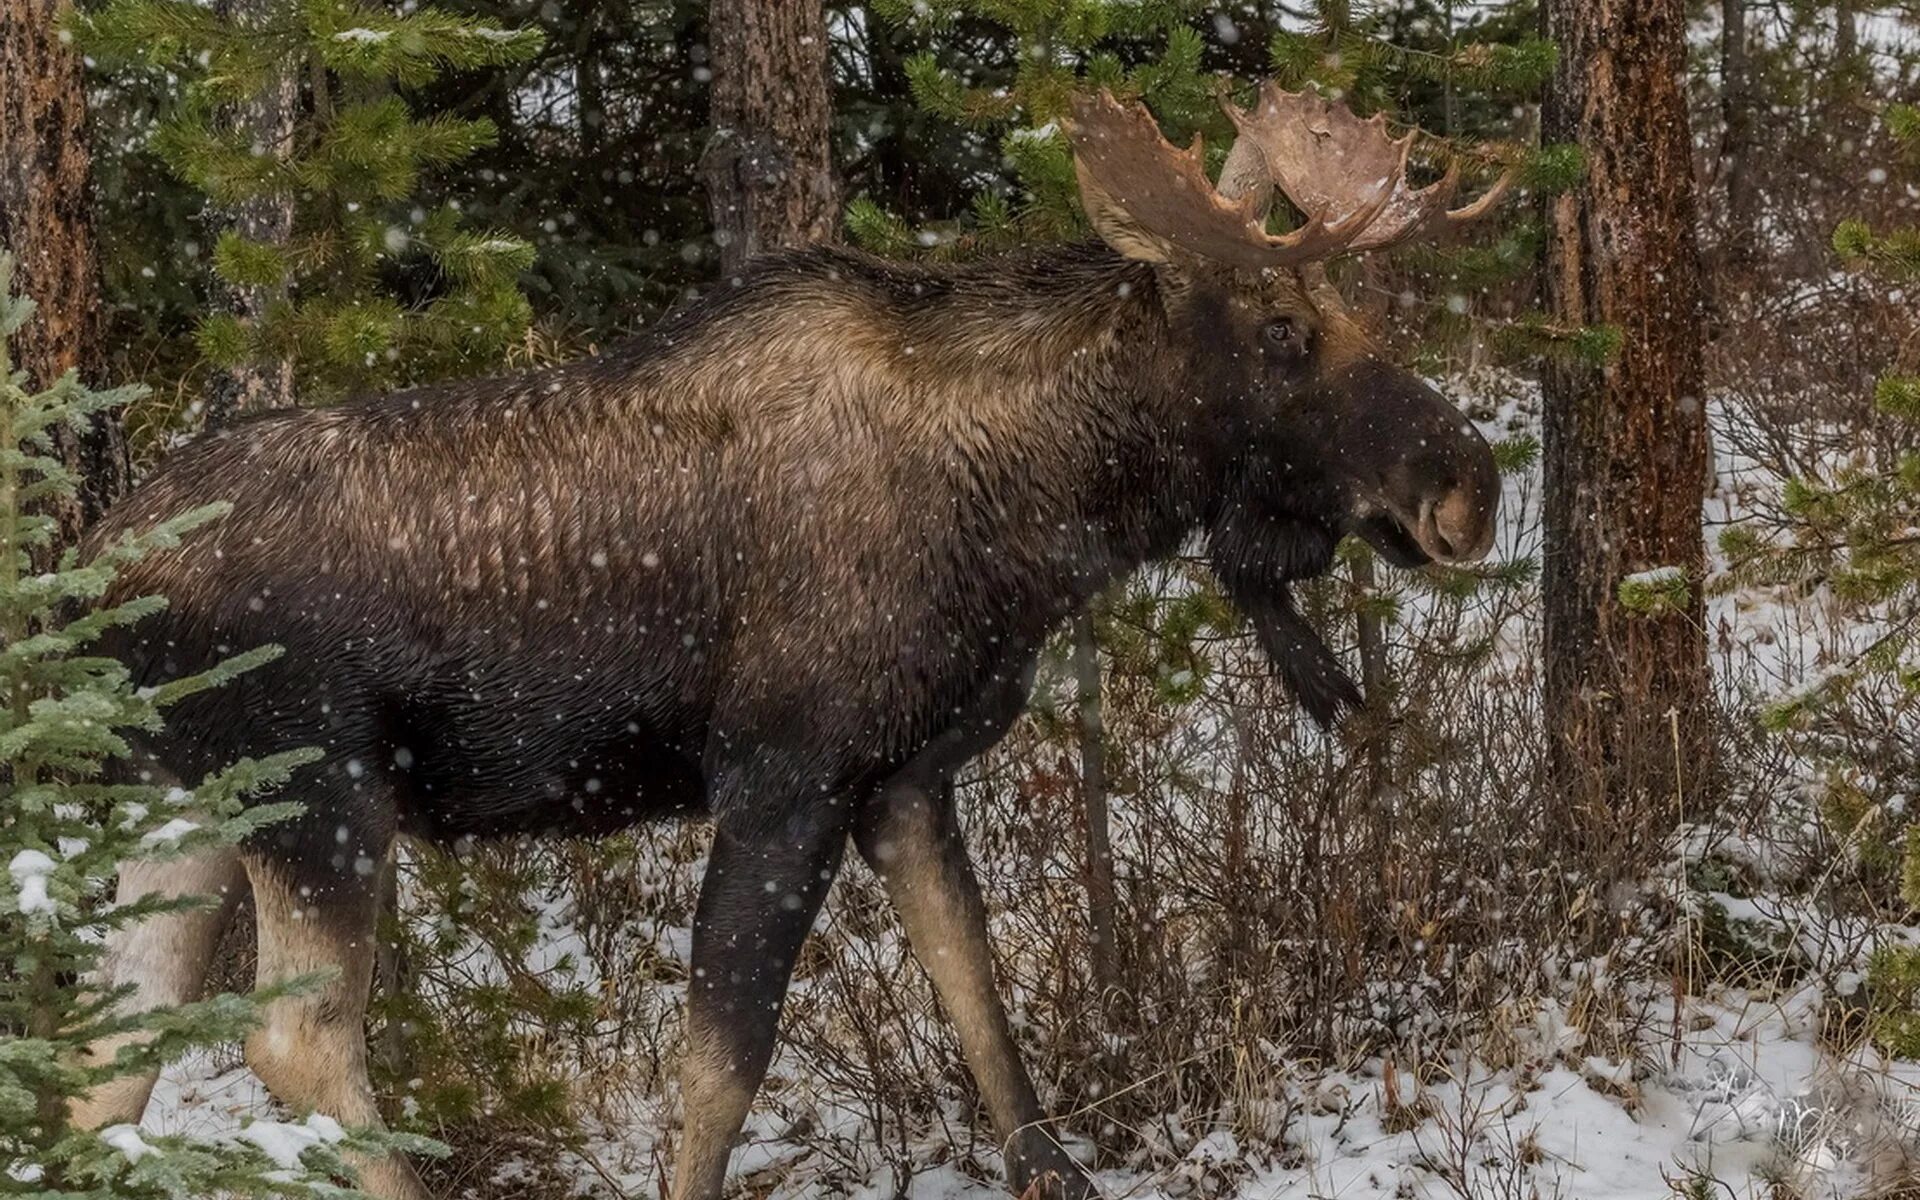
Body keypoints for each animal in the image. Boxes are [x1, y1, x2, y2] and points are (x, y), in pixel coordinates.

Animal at [74, 86, 1505, 1198]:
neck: (1033, 522)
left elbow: (983, 1006)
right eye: (1284, 331)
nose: (1470, 486)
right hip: (319, 796)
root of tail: (102, 568)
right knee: (295, 1046)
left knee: (107, 1055)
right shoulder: (785, 775)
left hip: (185, 805)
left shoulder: (907, 775)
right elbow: (722, 1070)